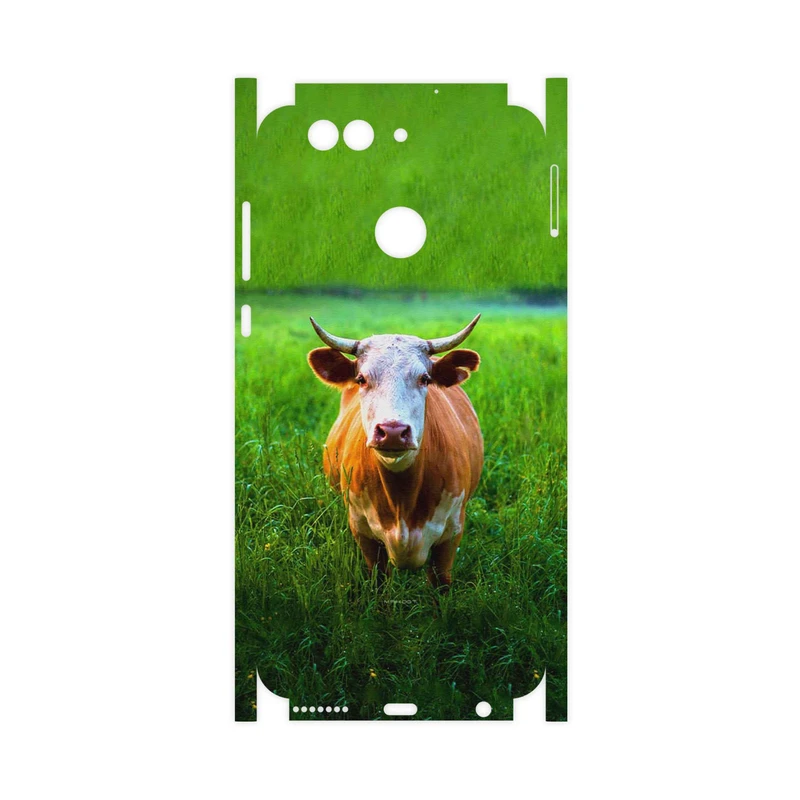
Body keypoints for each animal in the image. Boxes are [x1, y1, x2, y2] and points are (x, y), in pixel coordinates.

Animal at [307, 315, 484, 591]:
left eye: (425, 379)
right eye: (361, 379)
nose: (392, 431)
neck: (403, 499)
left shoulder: (451, 535)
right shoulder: (363, 533)